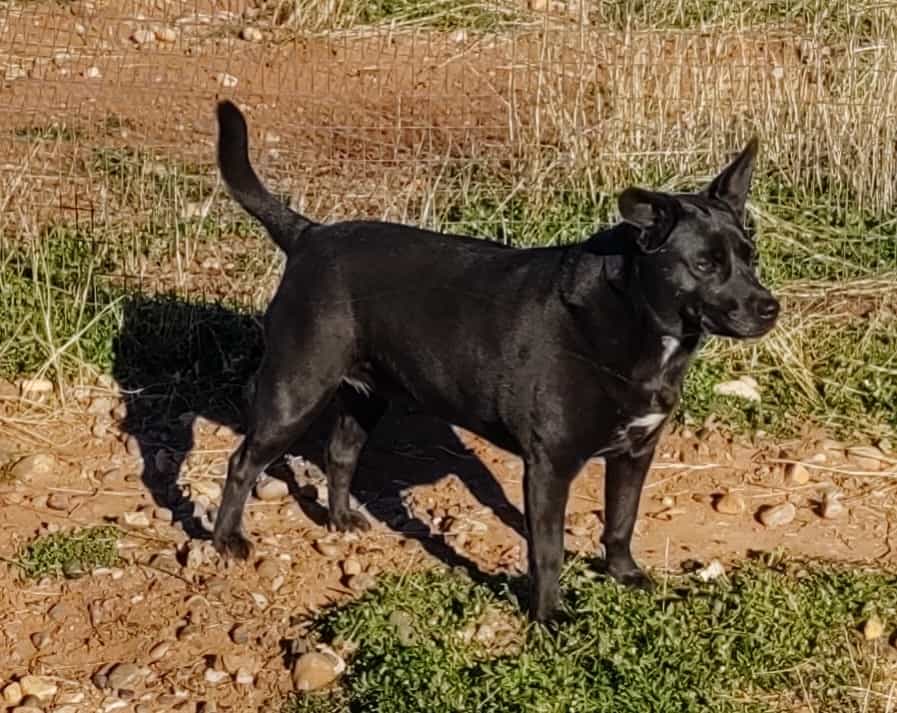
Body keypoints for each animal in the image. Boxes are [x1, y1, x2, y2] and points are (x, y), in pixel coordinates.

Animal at [210, 100, 776, 616]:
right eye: (704, 264)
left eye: (751, 257)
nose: (771, 307)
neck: (631, 314)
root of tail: (309, 234)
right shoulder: (550, 466)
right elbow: (547, 551)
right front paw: (549, 616)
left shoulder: (636, 452)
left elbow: (621, 520)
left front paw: (623, 575)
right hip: (296, 390)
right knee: (243, 462)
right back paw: (225, 540)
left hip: (367, 393)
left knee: (341, 453)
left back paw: (340, 519)